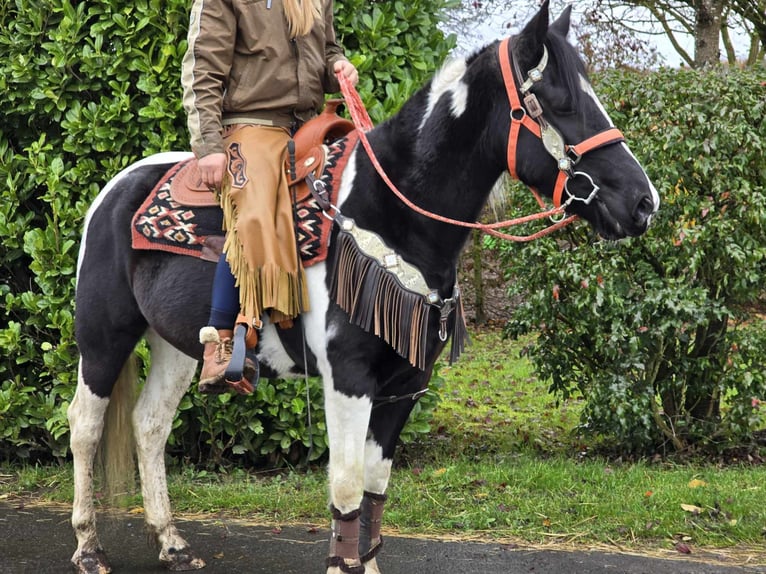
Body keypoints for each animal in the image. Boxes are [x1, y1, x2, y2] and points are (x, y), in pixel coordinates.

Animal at [69, 4, 664, 574]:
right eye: (557, 102)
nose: (643, 202)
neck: (389, 212)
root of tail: (115, 190)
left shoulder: (405, 385)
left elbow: (376, 490)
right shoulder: (348, 380)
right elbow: (347, 486)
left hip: (175, 344)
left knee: (149, 425)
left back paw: (172, 544)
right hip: (102, 337)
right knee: (85, 426)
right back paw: (89, 549)